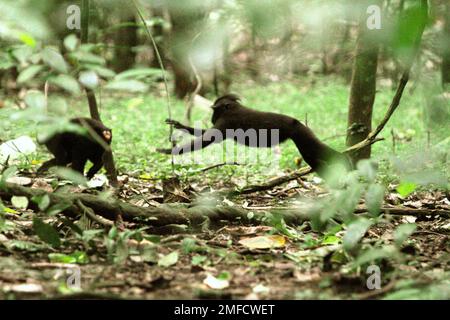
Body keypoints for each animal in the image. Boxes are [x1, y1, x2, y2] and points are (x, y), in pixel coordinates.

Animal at [156, 94, 350, 175]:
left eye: (214, 110)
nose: (211, 118)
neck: (232, 108)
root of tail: (297, 122)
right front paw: (179, 125)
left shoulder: (225, 122)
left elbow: (207, 140)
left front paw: (167, 151)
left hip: (302, 136)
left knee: (316, 151)